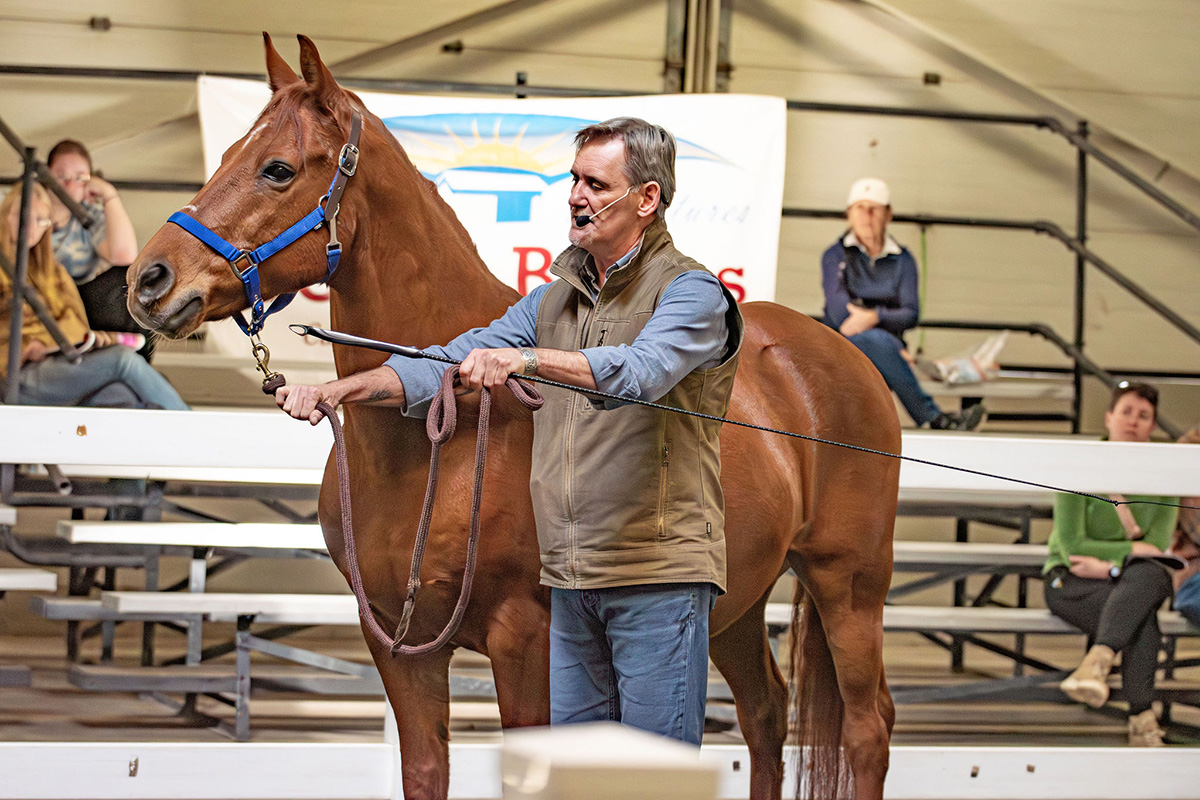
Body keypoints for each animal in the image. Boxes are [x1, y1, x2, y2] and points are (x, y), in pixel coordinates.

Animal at [129, 35, 902, 800]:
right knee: (766, 715)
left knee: (869, 727)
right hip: (732, 606)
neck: (435, 442)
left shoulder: (526, 642)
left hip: (848, 589)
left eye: (278, 169)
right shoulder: (399, 647)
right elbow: (425, 771)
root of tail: (842, 358)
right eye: (226, 156)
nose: (147, 281)